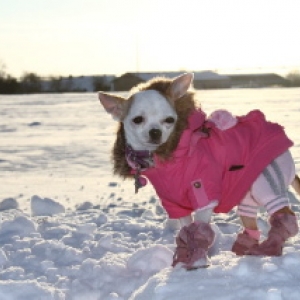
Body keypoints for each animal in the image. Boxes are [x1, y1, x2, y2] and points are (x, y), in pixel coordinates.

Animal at [99, 72, 300, 270]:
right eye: (137, 120)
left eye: (170, 120)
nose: (155, 132)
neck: (169, 157)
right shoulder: (175, 204)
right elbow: (186, 228)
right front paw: (184, 256)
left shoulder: (204, 196)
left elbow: (199, 228)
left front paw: (198, 259)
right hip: (247, 192)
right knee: (250, 219)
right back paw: (246, 248)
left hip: (266, 183)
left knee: (286, 215)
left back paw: (271, 246)